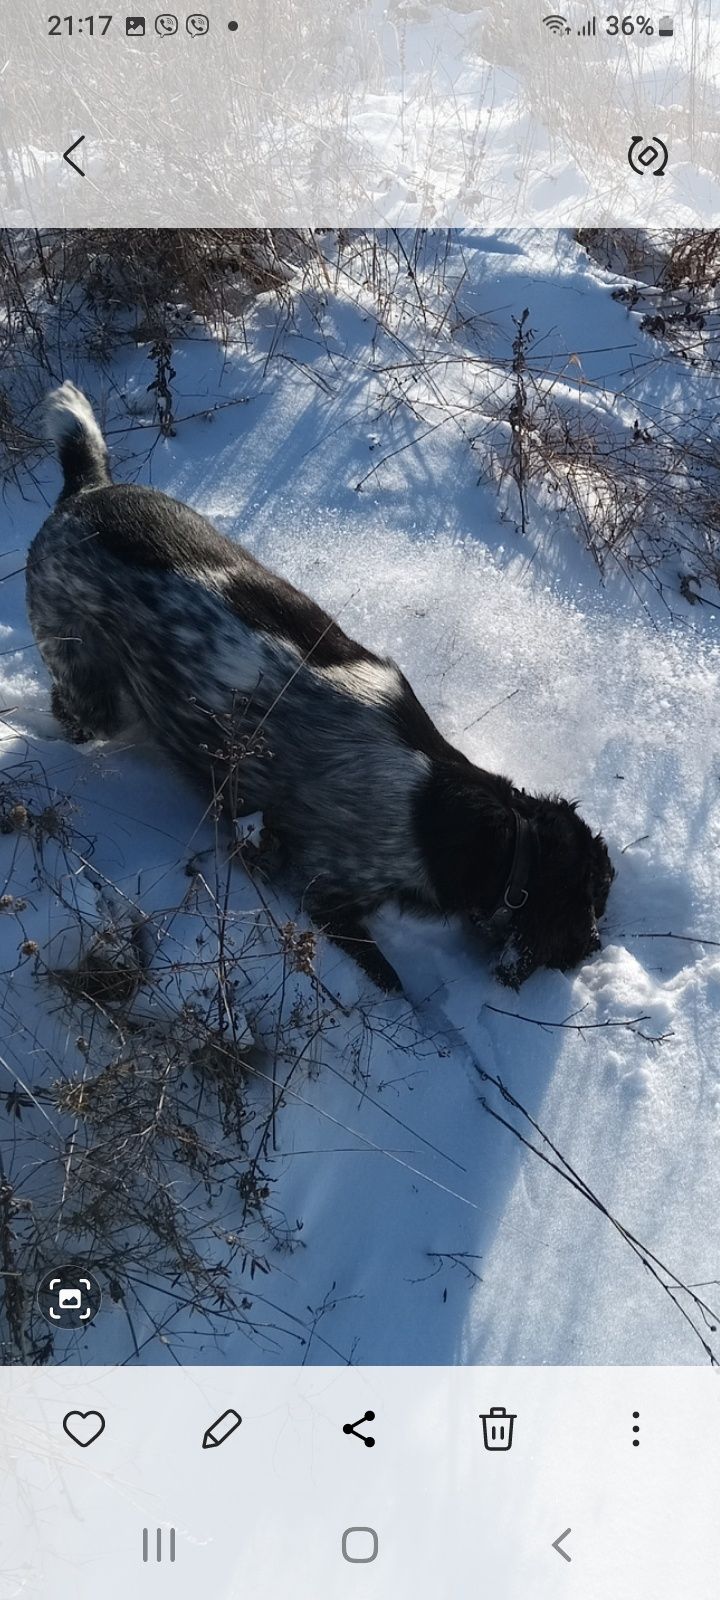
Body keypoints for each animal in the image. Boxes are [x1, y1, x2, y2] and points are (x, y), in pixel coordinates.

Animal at [26, 382, 614, 992]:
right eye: (595, 900)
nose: (595, 947)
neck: (448, 814)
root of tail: (84, 490)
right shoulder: (323, 888)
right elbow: (390, 980)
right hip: (87, 680)